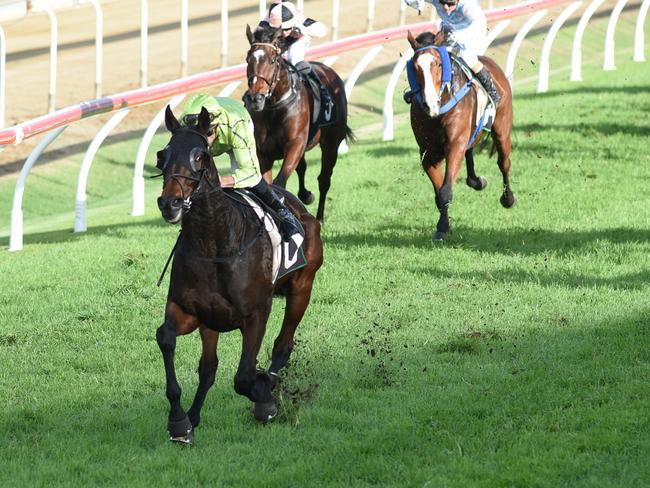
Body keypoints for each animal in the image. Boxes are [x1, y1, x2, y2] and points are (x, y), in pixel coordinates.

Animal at [153, 105, 324, 444]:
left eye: (200, 156)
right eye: (162, 155)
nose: (170, 203)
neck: (214, 244)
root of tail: (300, 209)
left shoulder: (256, 313)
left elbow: (244, 377)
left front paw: (265, 398)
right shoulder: (190, 311)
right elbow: (166, 338)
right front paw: (179, 421)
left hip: (303, 287)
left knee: (283, 345)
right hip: (212, 322)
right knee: (208, 368)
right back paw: (193, 417)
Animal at [243, 25, 354, 224]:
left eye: (273, 60)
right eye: (248, 59)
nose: (255, 98)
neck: (275, 106)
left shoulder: (295, 143)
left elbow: (279, 183)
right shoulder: (264, 153)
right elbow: (268, 184)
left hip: (331, 143)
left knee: (324, 179)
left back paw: (319, 217)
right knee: (302, 168)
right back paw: (306, 195)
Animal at [404, 31, 516, 241]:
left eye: (439, 64)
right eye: (415, 67)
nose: (430, 104)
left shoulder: (455, 144)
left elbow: (445, 190)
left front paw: (442, 227)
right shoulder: (428, 154)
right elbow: (439, 193)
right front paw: (444, 226)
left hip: (502, 130)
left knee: (504, 163)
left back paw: (508, 198)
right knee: (470, 152)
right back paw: (476, 181)